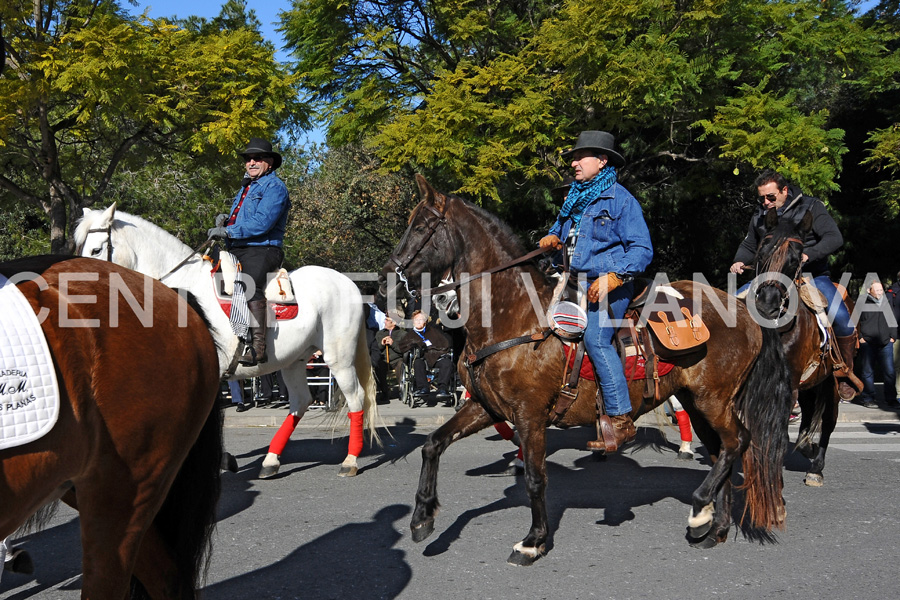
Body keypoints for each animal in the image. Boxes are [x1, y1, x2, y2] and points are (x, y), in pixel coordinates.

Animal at [72, 206, 376, 478]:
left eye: (96, 251)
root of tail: (347, 283)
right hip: (294, 361)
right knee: (301, 401)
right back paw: (270, 461)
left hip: (339, 359)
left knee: (355, 399)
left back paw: (350, 460)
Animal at [384, 176, 792, 564]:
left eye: (422, 226)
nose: (390, 273)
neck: (513, 315)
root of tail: (744, 310)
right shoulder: (485, 406)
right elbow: (433, 444)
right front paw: (421, 519)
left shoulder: (529, 414)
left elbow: (536, 478)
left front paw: (533, 542)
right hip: (696, 401)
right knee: (724, 449)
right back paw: (714, 526)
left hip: (713, 399)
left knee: (737, 442)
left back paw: (699, 510)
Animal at [748, 210, 856, 488]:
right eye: (762, 253)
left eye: (795, 260)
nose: (767, 306)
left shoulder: (789, 384)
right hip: (810, 385)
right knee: (808, 414)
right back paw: (807, 445)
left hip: (830, 384)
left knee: (828, 422)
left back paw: (816, 468)